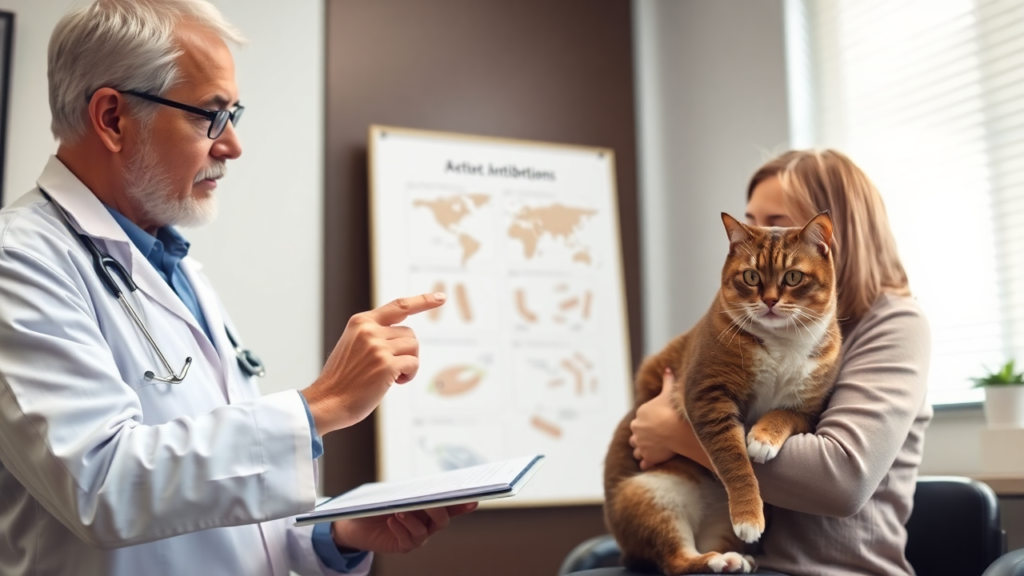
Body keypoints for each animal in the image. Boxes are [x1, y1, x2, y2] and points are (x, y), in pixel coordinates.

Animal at [598, 213, 839, 569]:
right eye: (751, 276)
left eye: (793, 276)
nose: (769, 300)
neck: (782, 343)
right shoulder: (707, 395)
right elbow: (733, 460)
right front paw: (749, 516)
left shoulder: (809, 409)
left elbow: (782, 414)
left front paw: (763, 439)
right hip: (650, 494)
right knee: (676, 560)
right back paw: (714, 561)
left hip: (715, 524)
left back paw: (732, 559)